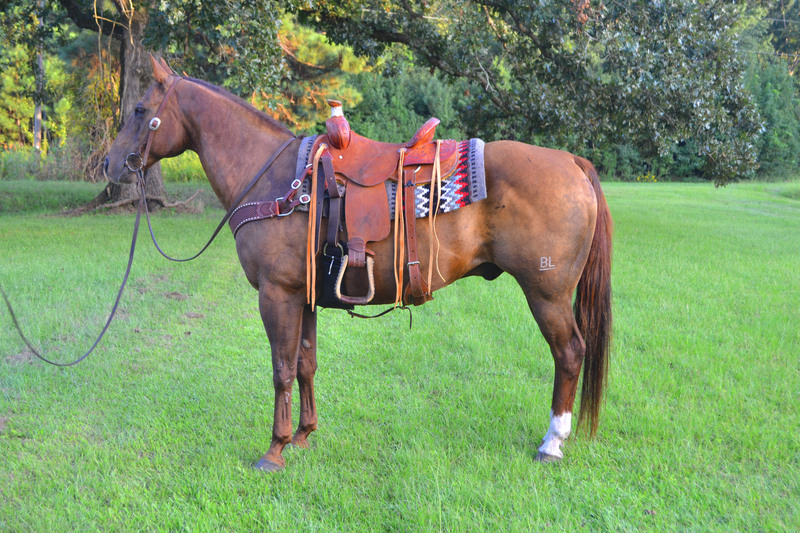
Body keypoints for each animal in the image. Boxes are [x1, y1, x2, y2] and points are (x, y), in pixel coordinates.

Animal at [101, 57, 612, 470]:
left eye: (140, 111)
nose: (108, 163)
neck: (273, 179)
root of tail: (571, 160)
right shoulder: (303, 294)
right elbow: (305, 364)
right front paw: (303, 436)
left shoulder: (277, 295)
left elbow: (281, 369)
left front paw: (274, 449)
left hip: (546, 294)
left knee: (570, 353)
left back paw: (552, 443)